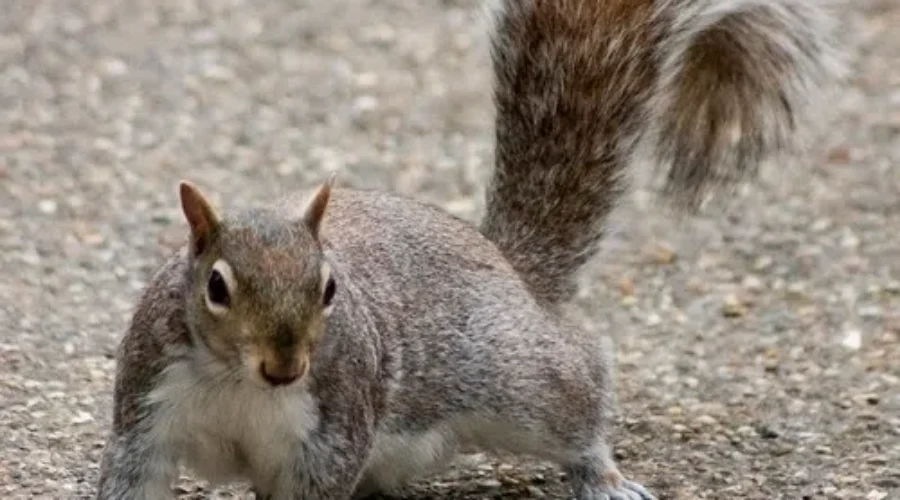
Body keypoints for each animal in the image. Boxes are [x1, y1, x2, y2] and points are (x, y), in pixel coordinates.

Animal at [96, 0, 839, 499]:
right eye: (217, 287)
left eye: (329, 288)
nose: (286, 368)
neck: (236, 383)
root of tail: (508, 267)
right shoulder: (148, 414)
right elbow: (133, 475)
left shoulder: (330, 433)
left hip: (521, 381)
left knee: (579, 397)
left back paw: (601, 474)